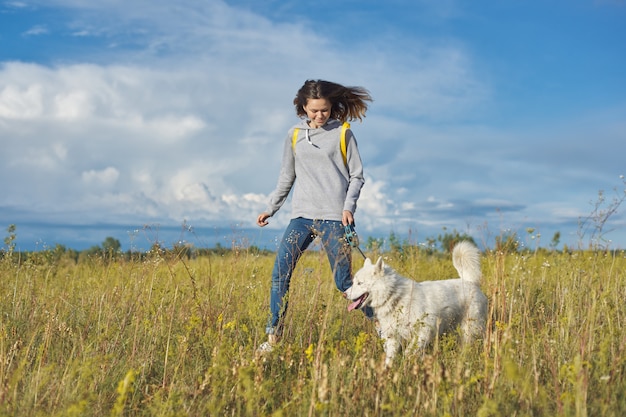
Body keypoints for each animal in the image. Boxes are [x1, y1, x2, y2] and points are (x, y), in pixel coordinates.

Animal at [344, 240, 486, 364]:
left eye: (360, 283)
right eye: (354, 282)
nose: (345, 294)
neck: (394, 295)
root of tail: (469, 281)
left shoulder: (424, 331)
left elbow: (408, 352)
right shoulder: (392, 337)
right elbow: (389, 359)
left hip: (469, 330)